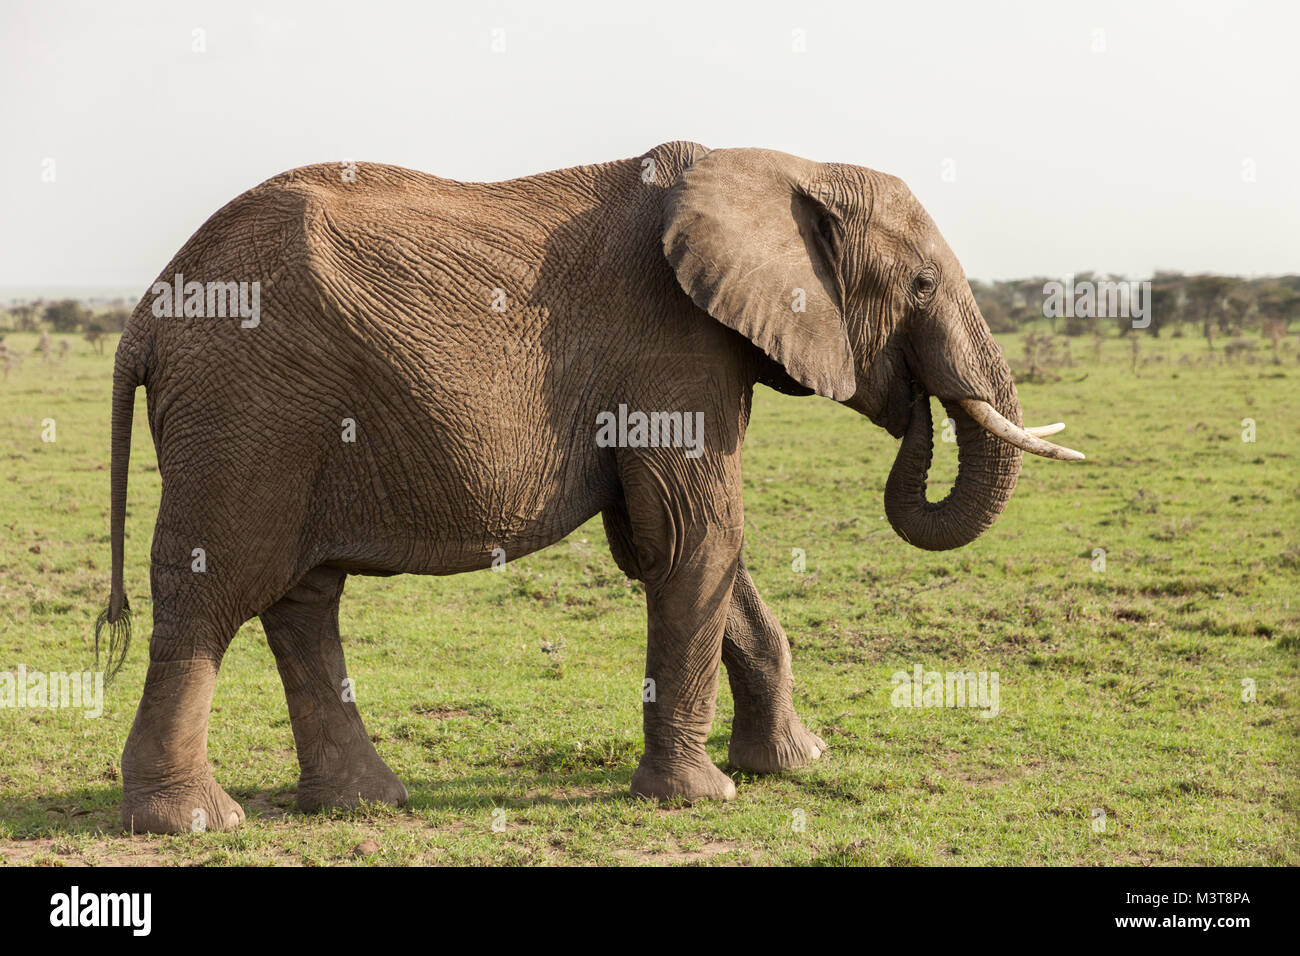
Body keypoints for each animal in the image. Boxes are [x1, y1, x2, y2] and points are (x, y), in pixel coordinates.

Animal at [97, 141, 1083, 833]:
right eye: (920, 283)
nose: (918, 408)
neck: (783, 164)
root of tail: (144, 315)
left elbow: (672, 547)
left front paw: (795, 765)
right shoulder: (672, 347)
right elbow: (695, 536)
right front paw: (704, 798)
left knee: (303, 597)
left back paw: (364, 806)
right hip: (247, 406)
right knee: (213, 592)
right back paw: (196, 823)